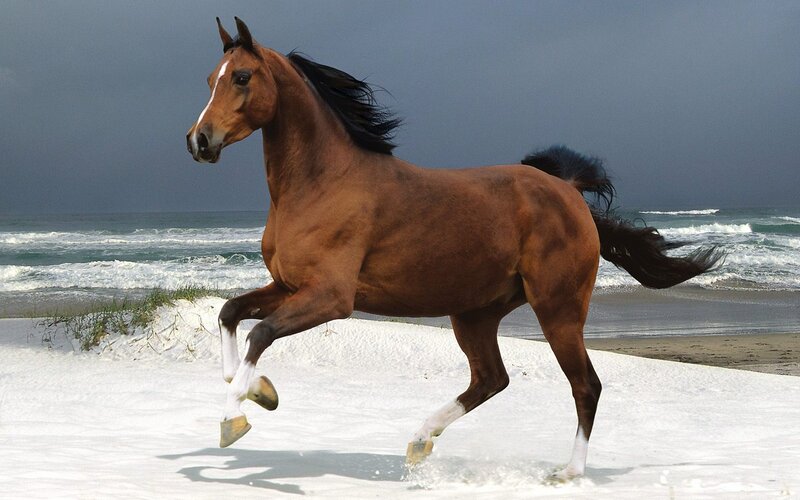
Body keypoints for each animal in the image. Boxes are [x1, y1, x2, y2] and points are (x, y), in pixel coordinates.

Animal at [186, 17, 720, 480]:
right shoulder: (288, 285)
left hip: (558, 309)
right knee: (492, 379)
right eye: (210, 78)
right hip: (476, 313)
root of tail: (567, 190)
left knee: (585, 385)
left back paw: (568, 473)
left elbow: (260, 333)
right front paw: (259, 391)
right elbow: (231, 314)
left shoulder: (331, 298)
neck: (321, 183)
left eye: (241, 77)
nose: (199, 141)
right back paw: (420, 440)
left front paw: (234, 419)